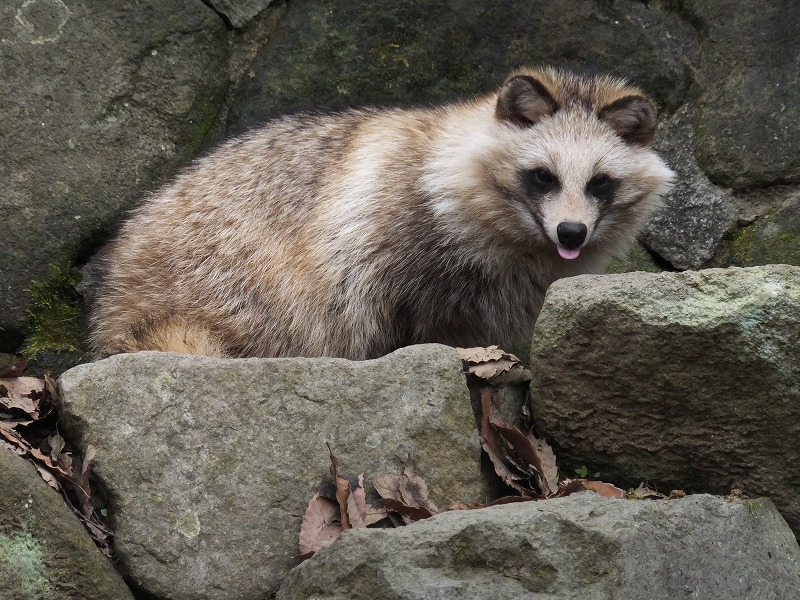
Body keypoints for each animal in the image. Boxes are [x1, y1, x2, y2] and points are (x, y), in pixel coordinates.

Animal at [92, 68, 676, 358]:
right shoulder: (390, 234)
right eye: (543, 177)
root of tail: (119, 299)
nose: (571, 232)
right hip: (224, 276)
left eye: (600, 183)